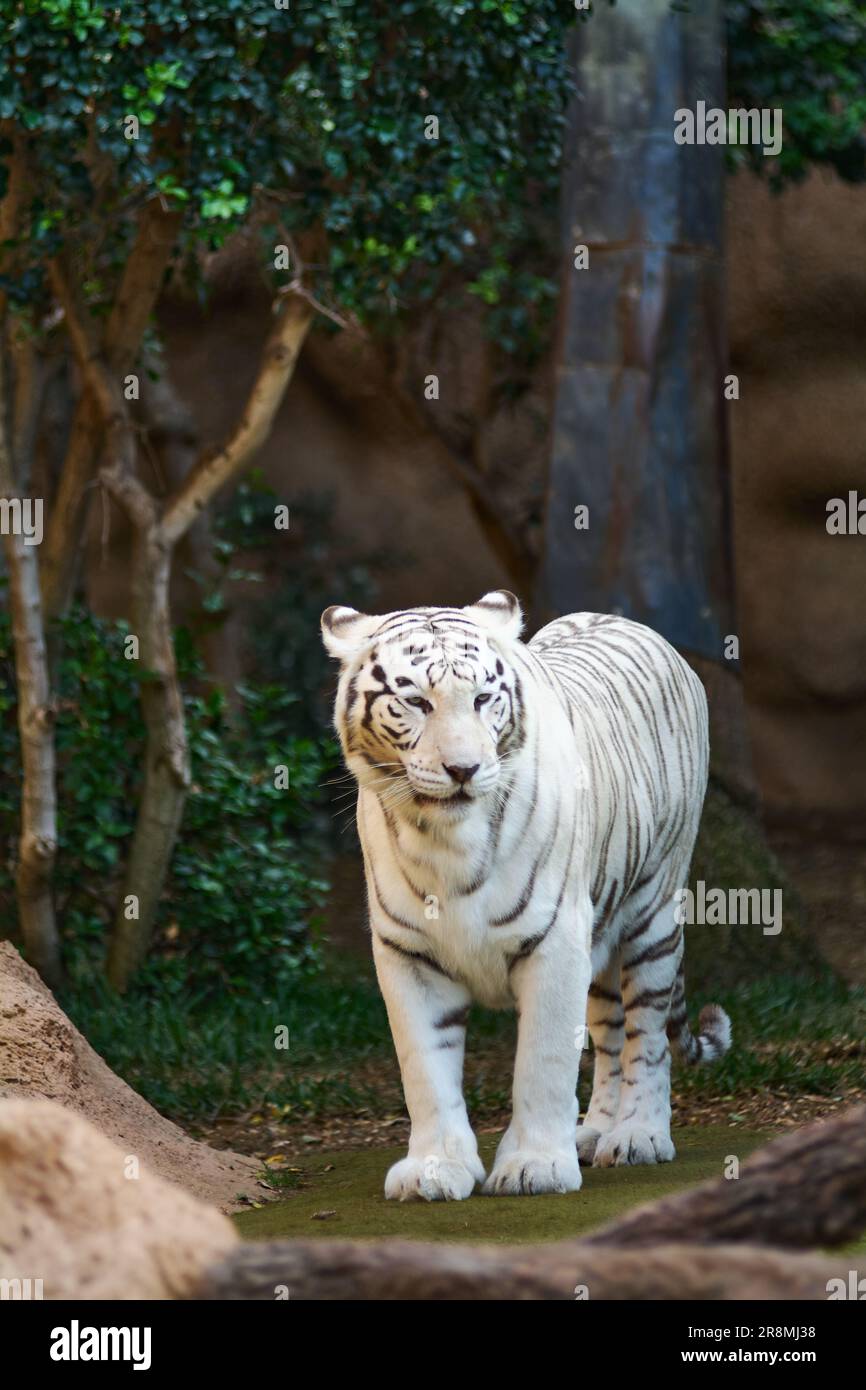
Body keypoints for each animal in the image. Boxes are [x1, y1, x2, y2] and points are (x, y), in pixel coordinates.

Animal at [322, 586, 728, 1195]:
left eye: (483, 699)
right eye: (415, 701)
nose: (464, 769)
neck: (445, 840)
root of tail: (633, 624)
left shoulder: (555, 940)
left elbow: (543, 1062)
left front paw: (535, 1167)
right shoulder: (408, 952)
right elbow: (425, 1069)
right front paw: (434, 1170)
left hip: (652, 912)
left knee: (648, 1035)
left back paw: (638, 1136)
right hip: (600, 929)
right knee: (610, 1034)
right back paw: (593, 1132)